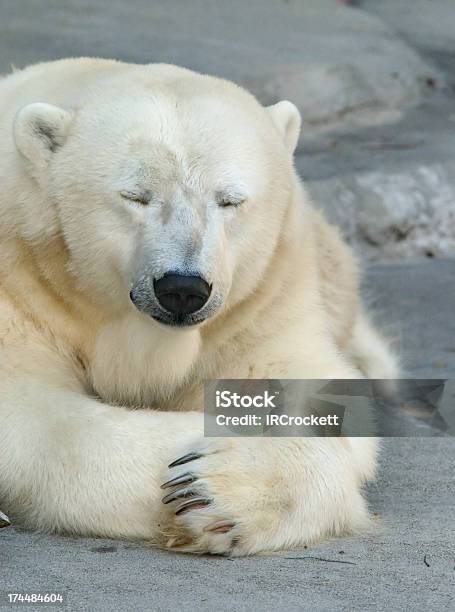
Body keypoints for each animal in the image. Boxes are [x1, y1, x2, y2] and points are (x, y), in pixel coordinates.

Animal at [0, 59, 400, 556]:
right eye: (136, 196)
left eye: (230, 200)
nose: (183, 288)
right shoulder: (22, 289)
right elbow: (35, 414)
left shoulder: (260, 305)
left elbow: (311, 392)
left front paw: (218, 487)